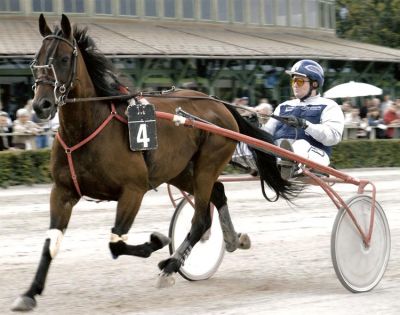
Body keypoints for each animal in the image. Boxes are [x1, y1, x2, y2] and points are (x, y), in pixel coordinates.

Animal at [10, 13, 296, 312]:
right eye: (36, 58)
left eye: (65, 58)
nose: (41, 105)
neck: (87, 129)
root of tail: (218, 103)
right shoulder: (63, 191)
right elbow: (50, 244)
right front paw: (29, 293)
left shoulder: (132, 190)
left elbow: (116, 243)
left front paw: (157, 240)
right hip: (180, 170)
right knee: (217, 194)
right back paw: (231, 240)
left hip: (207, 165)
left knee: (201, 219)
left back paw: (171, 265)